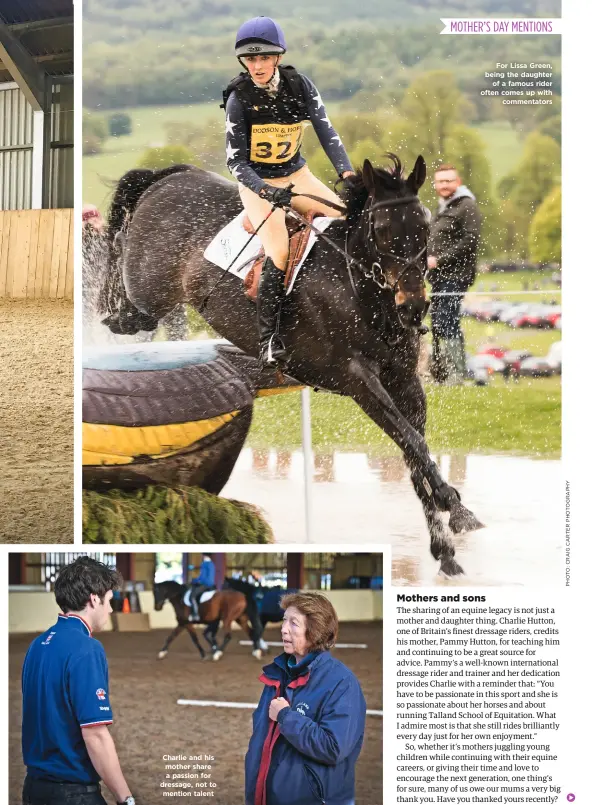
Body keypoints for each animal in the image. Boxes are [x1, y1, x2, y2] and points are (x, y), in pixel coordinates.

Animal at [102, 154, 484, 576]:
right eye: (382, 230)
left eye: (424, 226)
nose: (414, 307)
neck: (358, 287)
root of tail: (171, 176)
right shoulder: (358, 380)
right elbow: (412, 441)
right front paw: (453, 503)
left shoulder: (403, 381)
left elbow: (414, 451)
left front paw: (446, 542)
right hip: (150, 292)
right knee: (126, 285)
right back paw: (108, 307)